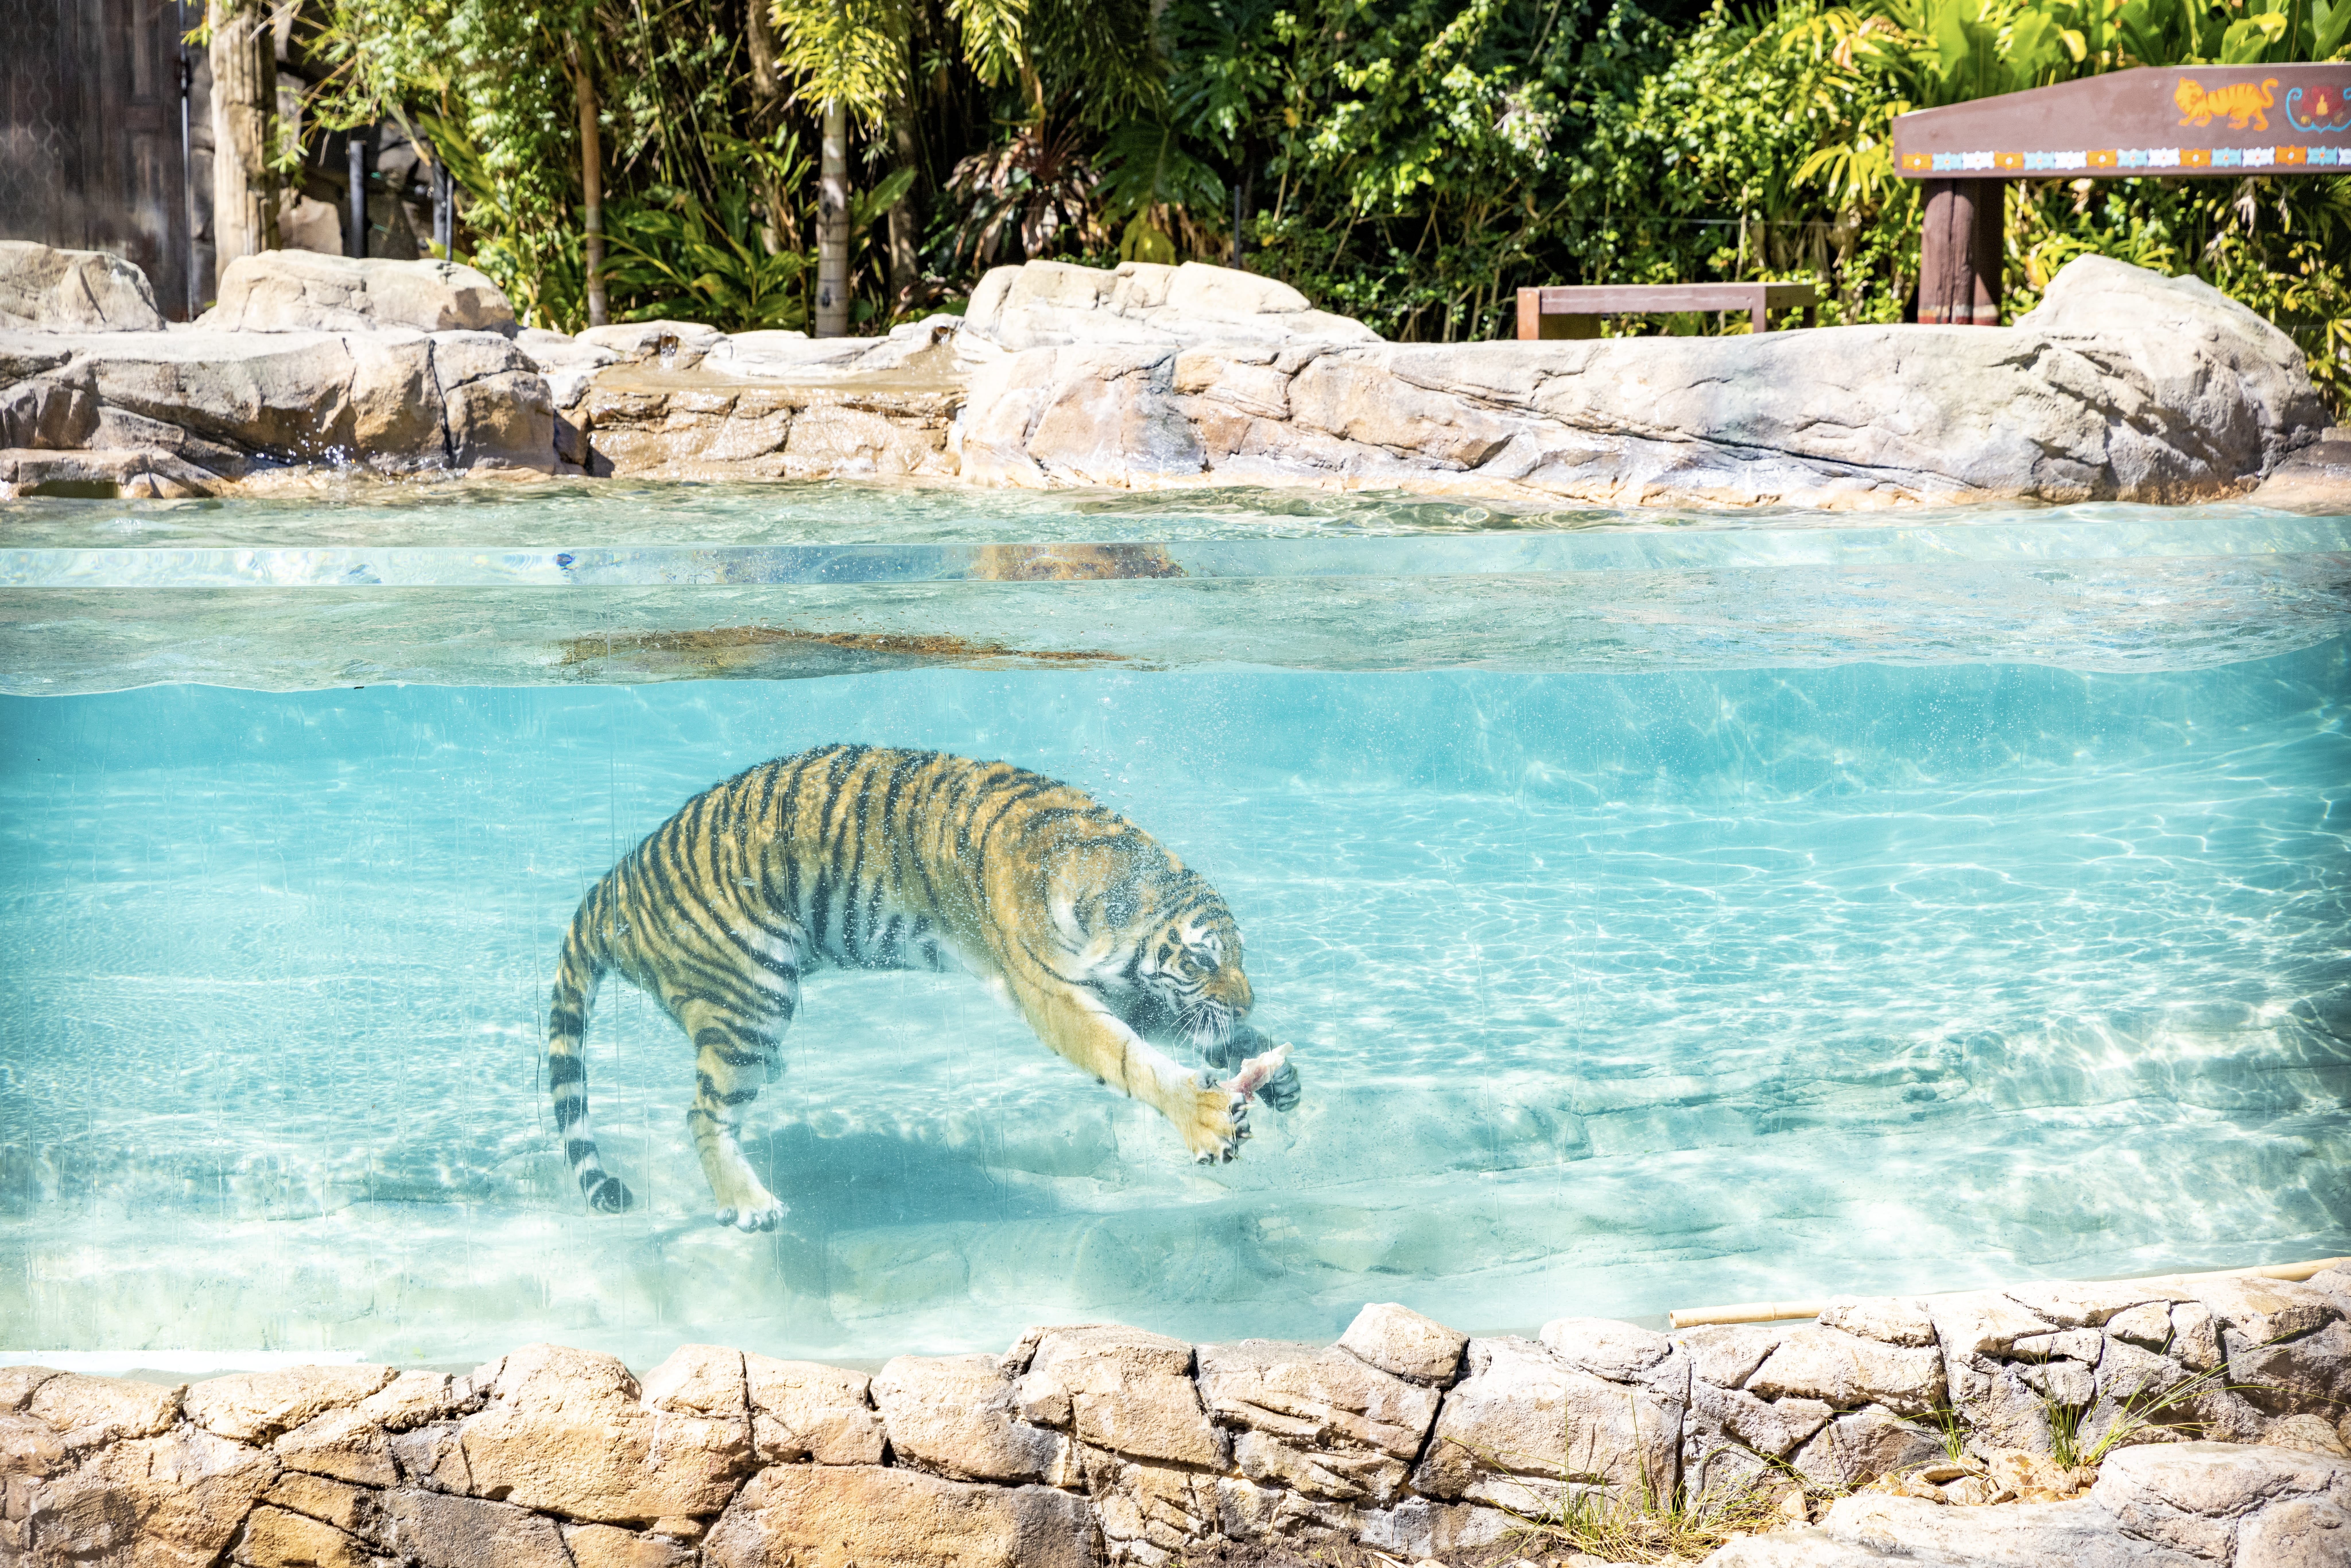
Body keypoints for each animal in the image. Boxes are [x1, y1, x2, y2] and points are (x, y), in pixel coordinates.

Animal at [543, 743, 1302, 1230]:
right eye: (1201, 960)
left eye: (1239, 955)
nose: (1249, 999)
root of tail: (612, 880)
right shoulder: (1055, 995)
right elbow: (1129, 1058)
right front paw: (1206, 1116)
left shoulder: (1130, 993)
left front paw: (1272, 1070)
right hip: (753, 990)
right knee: (703, 1112)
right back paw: (751, 1203)